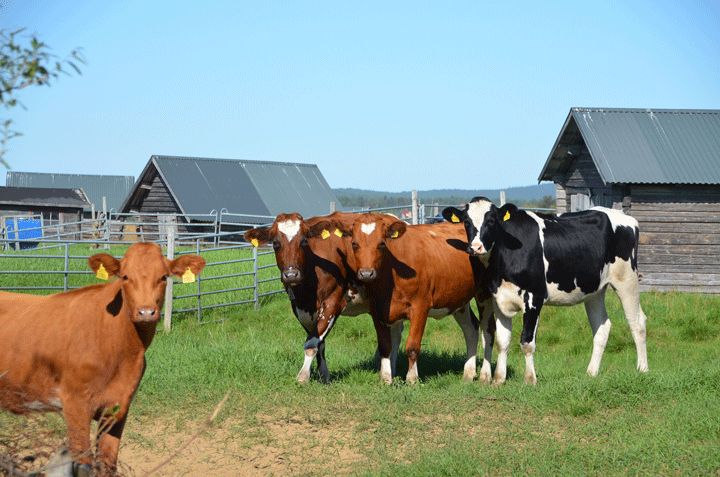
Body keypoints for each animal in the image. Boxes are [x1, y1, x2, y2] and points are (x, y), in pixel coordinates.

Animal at [0, 244, 205, 474]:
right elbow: (83, 464)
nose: (146, 312)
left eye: (163, 277)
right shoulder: (75, 405)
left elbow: (108, 464)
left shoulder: (119, 406)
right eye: (125, 276)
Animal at [246, 212, 404, 384]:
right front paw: (324, 375)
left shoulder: (332, 303)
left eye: (304, 241)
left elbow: (312, 342)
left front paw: (303, 376)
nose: (291, 275)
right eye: (275, 243)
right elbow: (318, 342)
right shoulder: (300, 309)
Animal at [442, 196, 648, 384]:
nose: (475, 247)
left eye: (491, 221)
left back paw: (642, 369)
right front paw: (499, 379)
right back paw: (591, 373)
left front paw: (530, 379)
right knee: (602, 327)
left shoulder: (534, 297)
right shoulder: (499, 298)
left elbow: (527, 342)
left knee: (637, 323)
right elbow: (502, 340)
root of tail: (625, 217)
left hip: (627, 279)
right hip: (595, 290)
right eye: (466, 222)